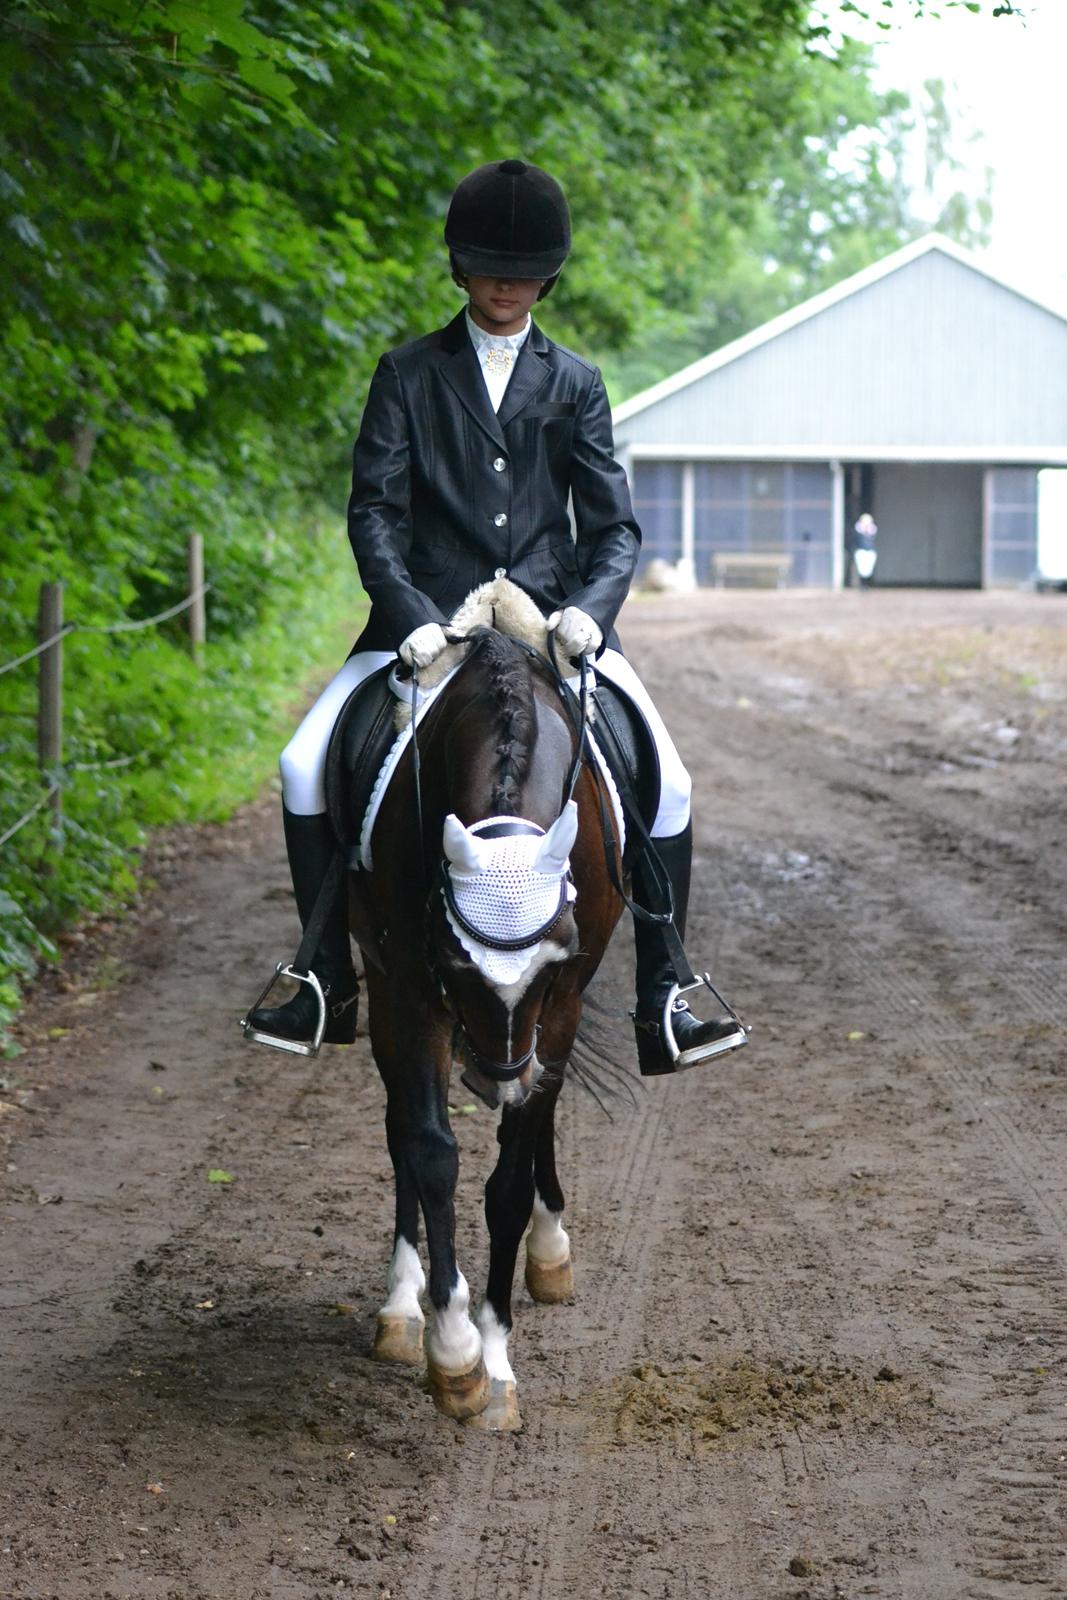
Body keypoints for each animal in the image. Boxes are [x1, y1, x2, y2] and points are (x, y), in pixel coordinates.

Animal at [347, 592, 630, 1440]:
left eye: (554, 959)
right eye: (452, 965)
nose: (495, 1076)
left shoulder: (560, 1007)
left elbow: (507, 1180)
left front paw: (497, 1360)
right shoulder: (411, 996)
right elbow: (430, 1154)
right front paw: (453, 1352)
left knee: (541, 1118)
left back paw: (550, 1246)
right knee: (400, 1132)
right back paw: (402, 1306)